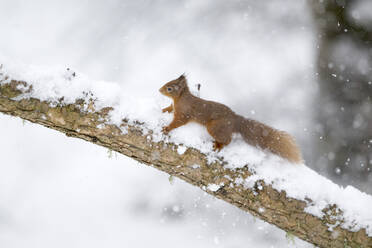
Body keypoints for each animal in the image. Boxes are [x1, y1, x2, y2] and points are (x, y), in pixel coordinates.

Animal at [160, 74, 302, 164]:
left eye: (169, 88)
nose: (159, 90)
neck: (180, 98)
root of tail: (235, 120)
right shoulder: (175, 107)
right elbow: (169, 109)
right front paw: (163, 110)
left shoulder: (184, 113)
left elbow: (178, 122)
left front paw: (167, 128)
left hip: (215, 127)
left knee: (228, 140)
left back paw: (219, 145)